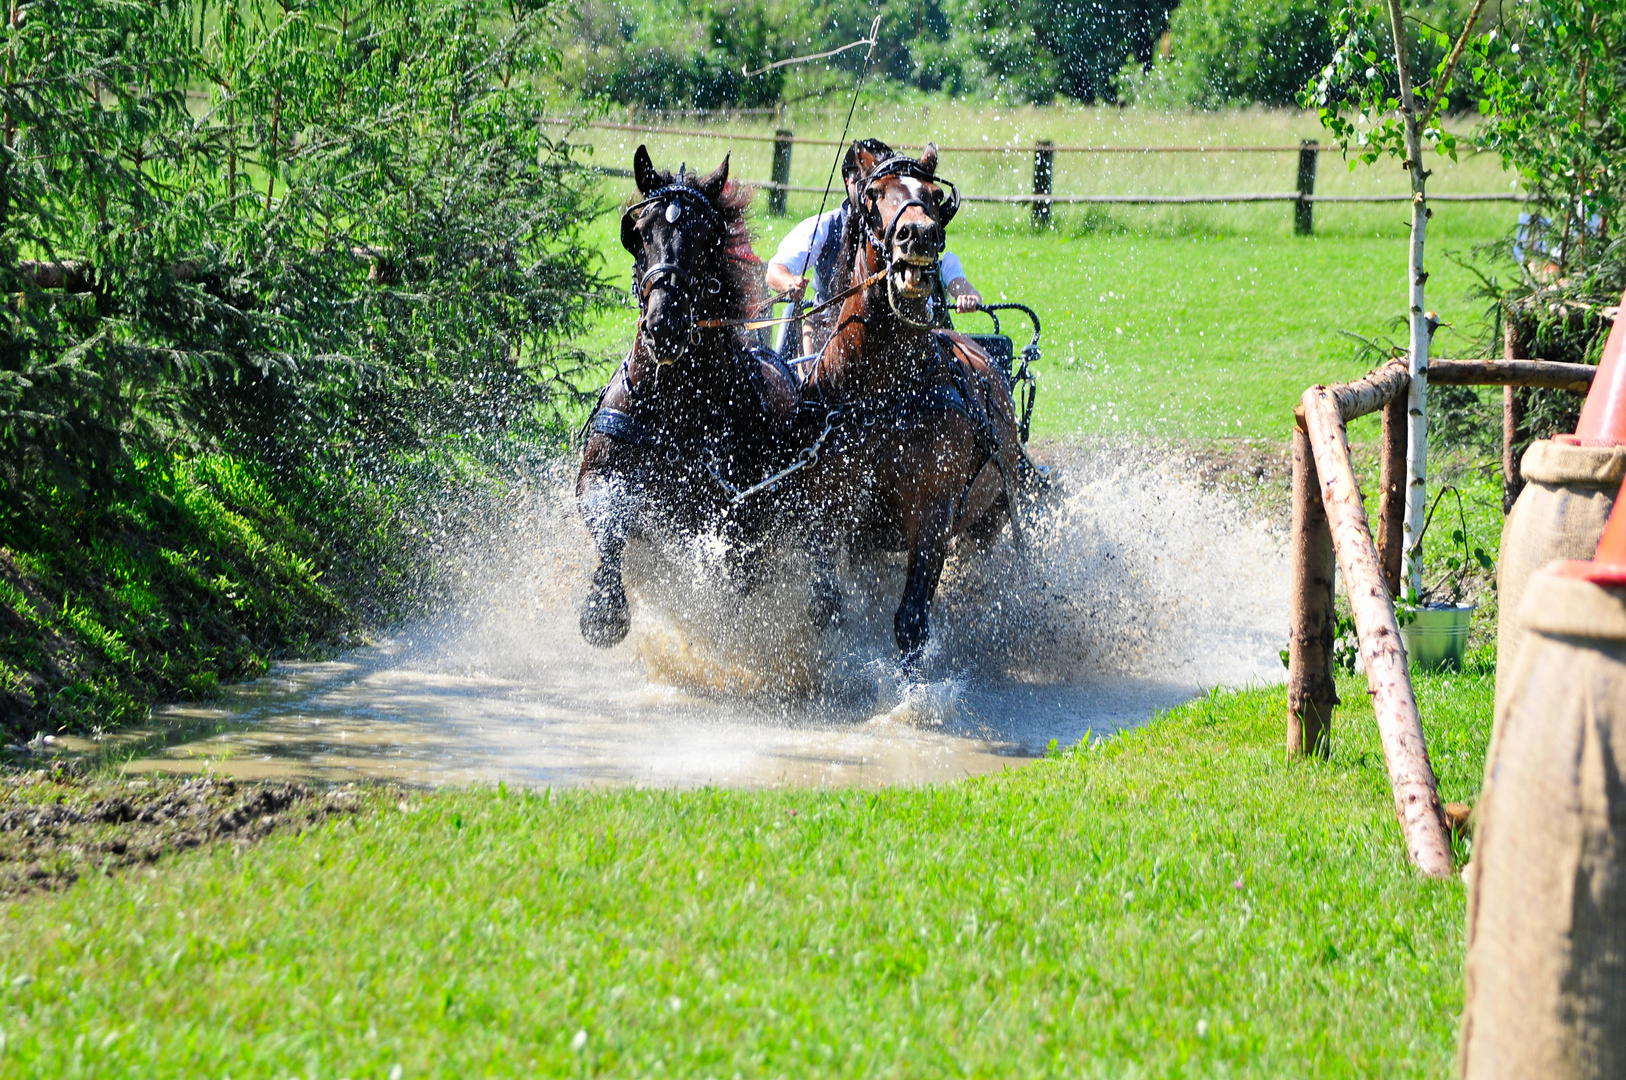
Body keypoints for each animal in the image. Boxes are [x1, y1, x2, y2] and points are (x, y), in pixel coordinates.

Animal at [578, 148, 799, 644]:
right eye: (639, 233)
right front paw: (604, 608)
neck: (676, 404)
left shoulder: (734, 520)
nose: (665, 324)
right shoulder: (598, 476)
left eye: (707, 239)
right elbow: (609, 518)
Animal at [796, 143, 1021, 666]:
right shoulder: (825, 509)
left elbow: (911, 621)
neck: (884, 392)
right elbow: (825, 604)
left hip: (993, 512)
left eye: (936, 196)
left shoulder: (935, 510)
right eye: (874, 194)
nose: (917, 233)